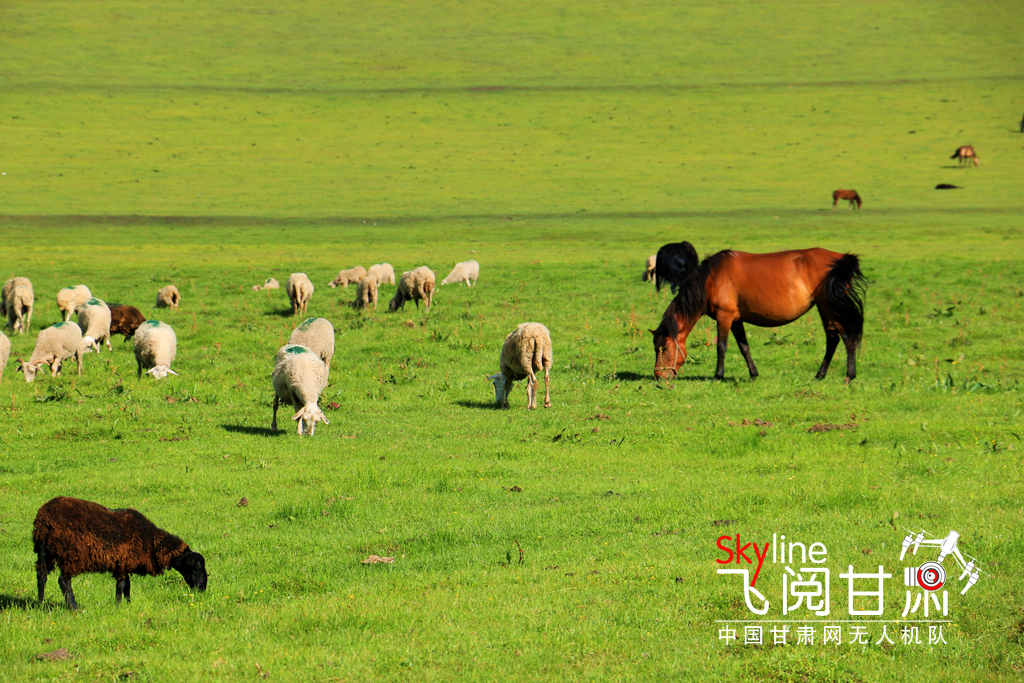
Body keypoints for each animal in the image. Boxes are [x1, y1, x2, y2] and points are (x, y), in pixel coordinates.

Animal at [33, 497, 207, 610]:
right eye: (198, 567)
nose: (202, 588)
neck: (152, 542)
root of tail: (44, 518)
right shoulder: (123, 563)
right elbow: (121, 586)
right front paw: (117, 606)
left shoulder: (125, 563)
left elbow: (127, 586)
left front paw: (129, 604)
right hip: (69, 554)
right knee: (63, 580)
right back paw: (74, 607)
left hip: (44, 551)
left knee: (41, 576)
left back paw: (40, 604)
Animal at [647, 245, 864, 385]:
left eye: (664, 348)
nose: (659, 376)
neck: (711, 278)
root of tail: (841, 259)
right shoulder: (736, 320)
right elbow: (744, 347)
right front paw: (753, 374)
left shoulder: (724, 317)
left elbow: (721, 347)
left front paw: (718, 376)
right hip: (824, 308)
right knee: (833, 339)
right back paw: (820, 375)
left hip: (830, 307)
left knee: (847, 337)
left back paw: (849, 376)